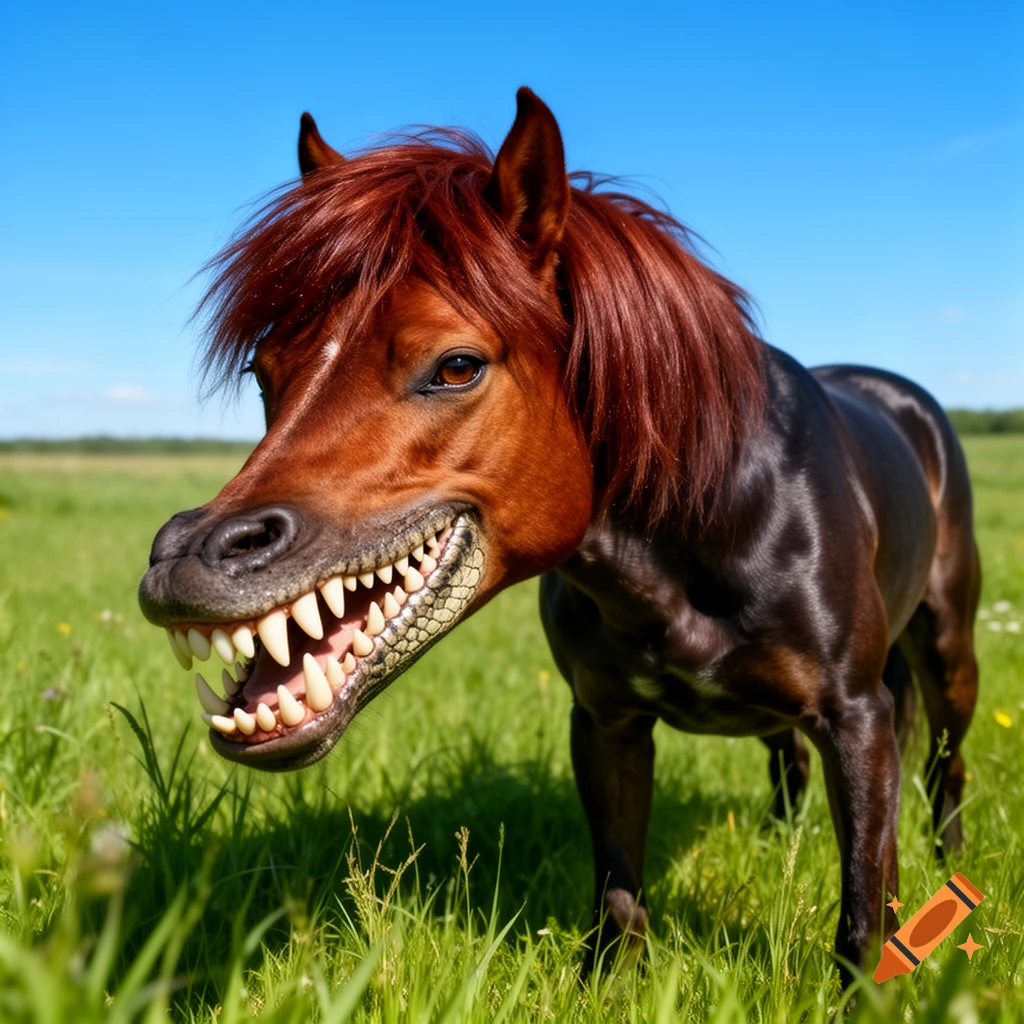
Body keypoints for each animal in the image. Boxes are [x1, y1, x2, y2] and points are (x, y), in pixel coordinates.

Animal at [139, 88, 980, 984]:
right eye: (264, 373)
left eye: (457, 365)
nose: (185, 556)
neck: (698, 537)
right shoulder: (606, 723)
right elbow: (618, 891)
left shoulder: (856, 717)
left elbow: (863, 913)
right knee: (787, 761)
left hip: (947, 653)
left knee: (946, 763)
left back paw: (951, 858)